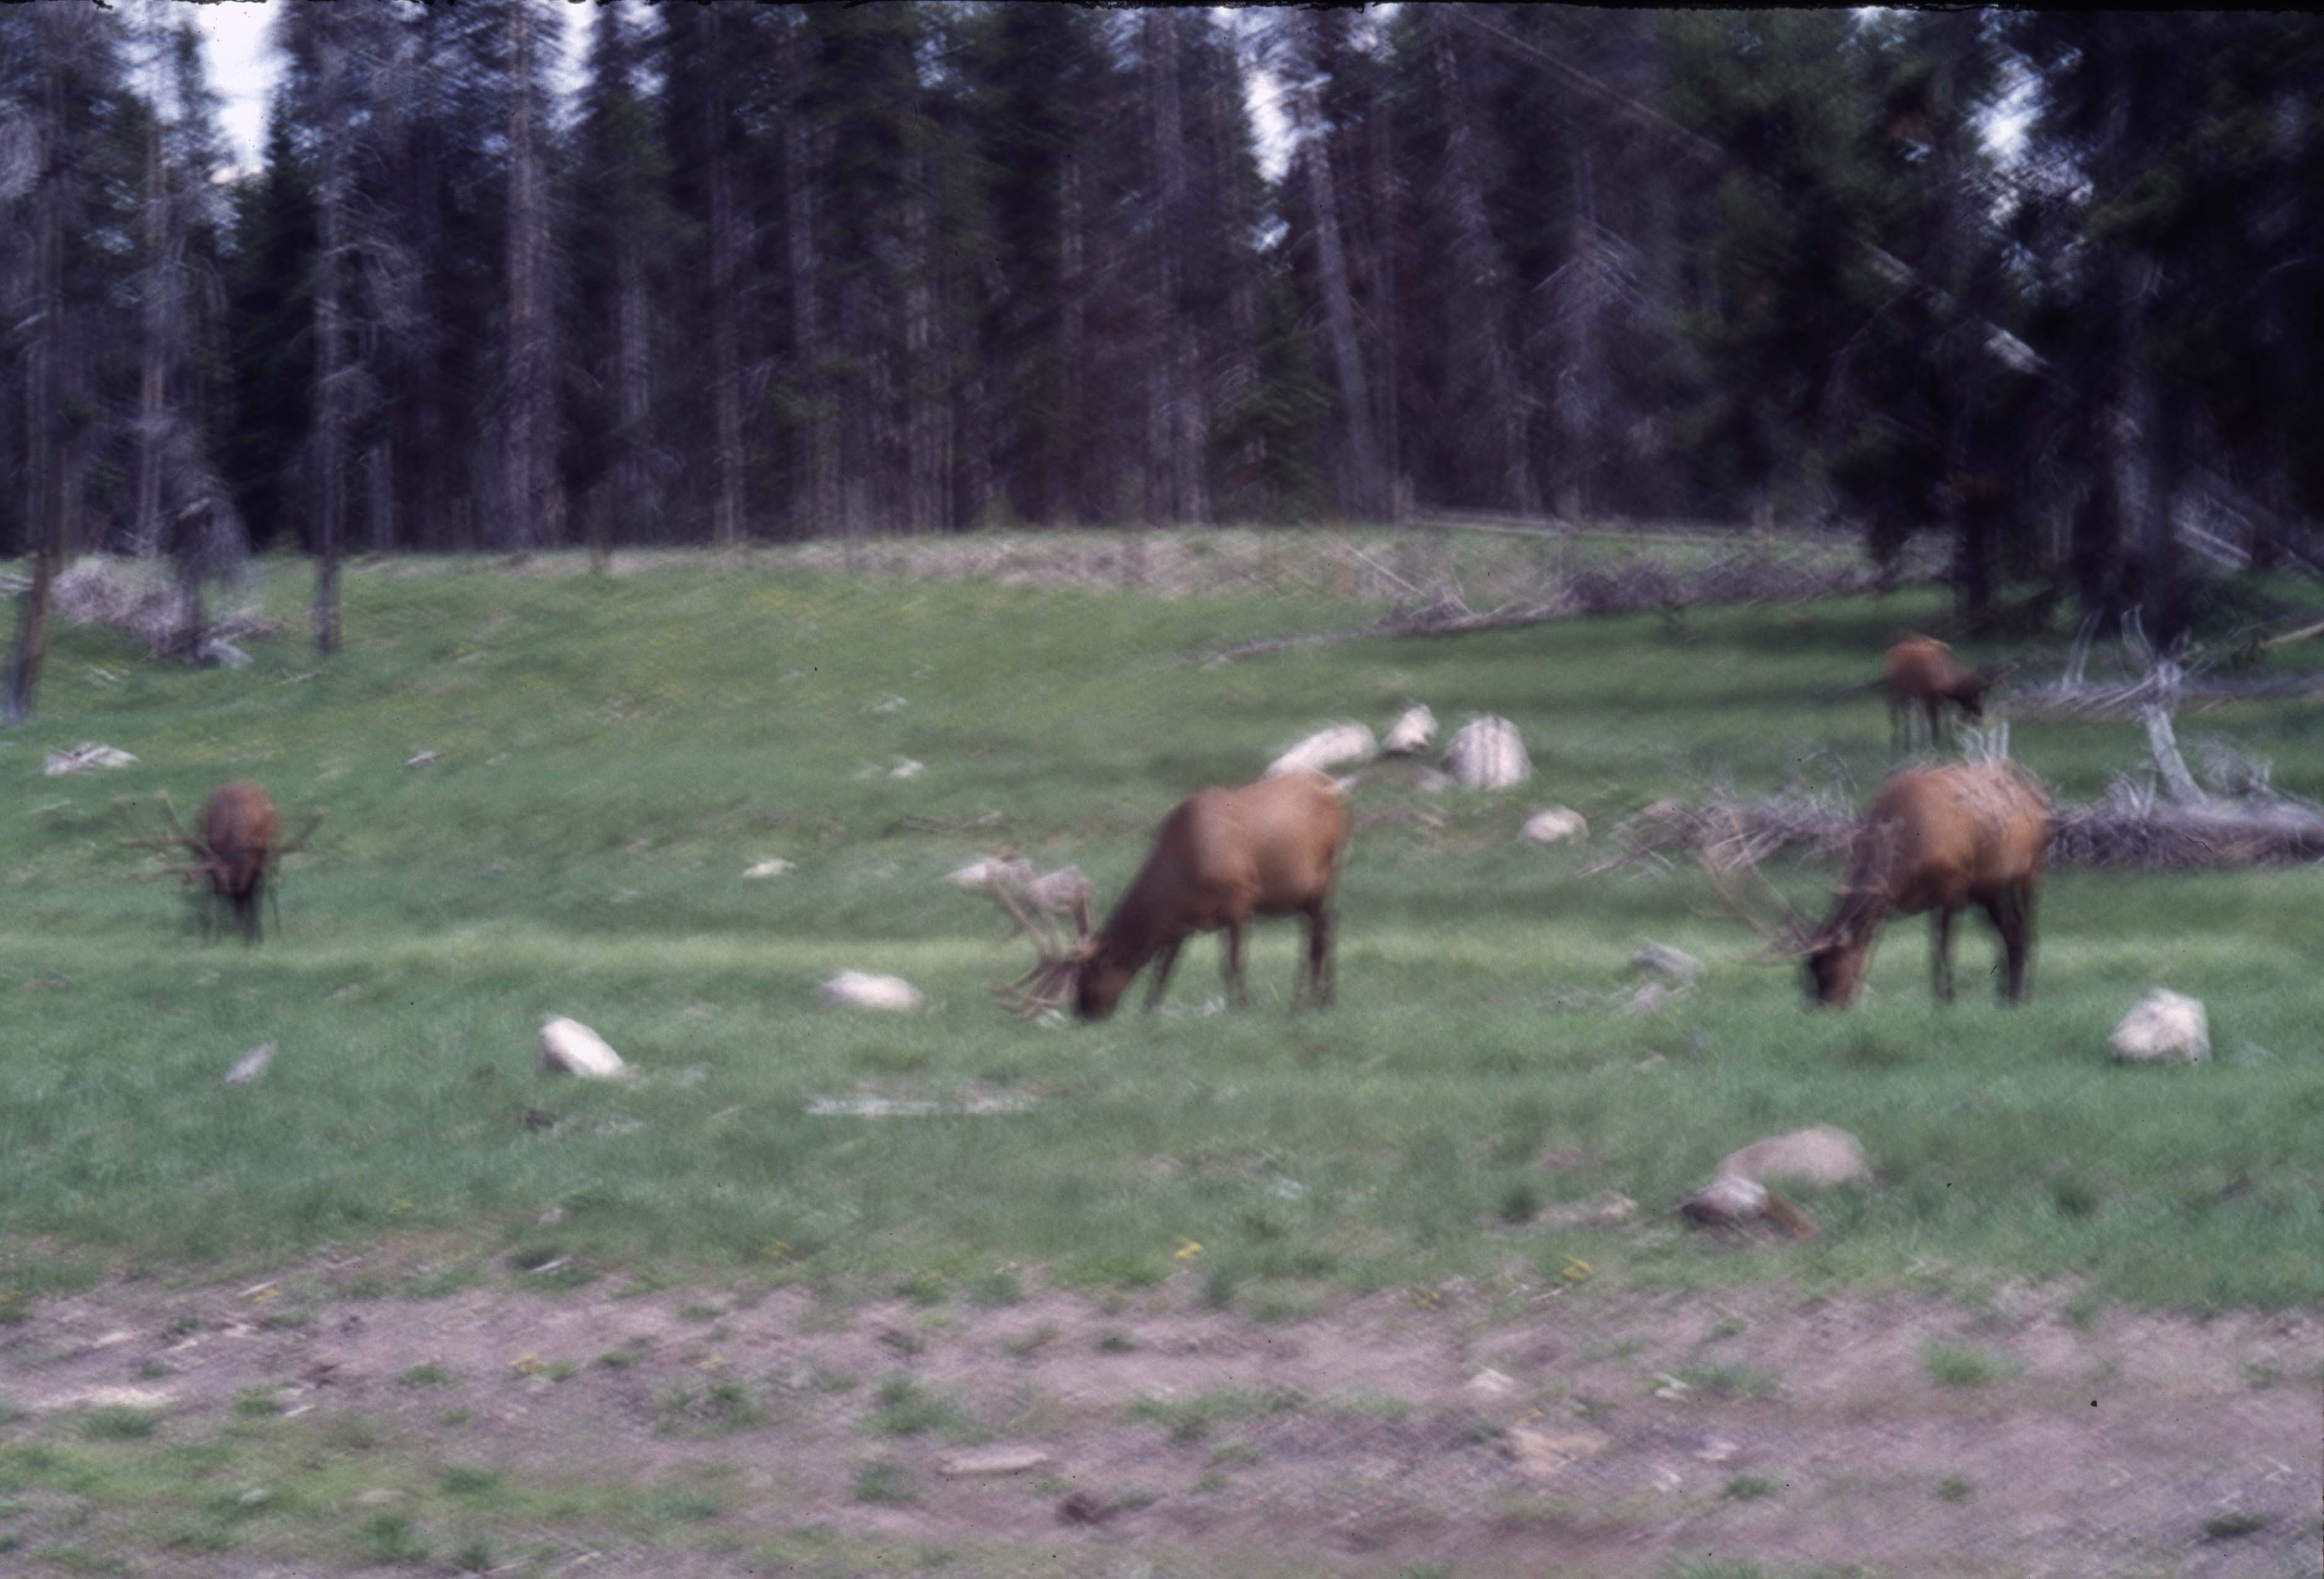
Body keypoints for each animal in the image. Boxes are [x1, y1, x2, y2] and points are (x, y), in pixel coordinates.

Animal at [121, 780, 320, 944]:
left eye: (244, 894)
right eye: (228, 895)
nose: (240, 933)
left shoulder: (261, 861)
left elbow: (260, 896)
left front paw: (259, 936)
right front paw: (216, 936)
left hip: (275, 852)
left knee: (273, 888)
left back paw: (277, 928)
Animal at [996, 768, 1350, 1022]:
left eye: (1089, 973)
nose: (1083, 1015)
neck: (1182, 875)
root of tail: (1337, 790)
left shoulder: (1240, 899)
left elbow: (1234, 963)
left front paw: (1240, 1008)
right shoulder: (1183, 920)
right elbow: (1164, 968)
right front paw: (1147, 1011)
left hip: (1327, 875)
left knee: (1325, 933)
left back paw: (1320, 1002)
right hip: (1304, 896)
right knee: (1318, 933)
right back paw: (1304, 1002)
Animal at [1701, 761, 2051, 1009]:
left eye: (1830, 968)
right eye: (1806, 973)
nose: (1820, 1008)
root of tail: (2035, 792)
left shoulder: (1955, 884)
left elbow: (1942, 948)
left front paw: (1946, 1002)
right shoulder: (1891, 899)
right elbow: (1879, 944)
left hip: (2032, 868)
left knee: (2028, 931)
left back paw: (2026, 995)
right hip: (1990, 887)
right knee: (2010, 934)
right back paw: (2007, 997)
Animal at [1884, 634, 2010, 754]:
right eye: (1974, 695)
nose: (1980, 713)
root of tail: (1890, 654)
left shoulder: (1939, 700)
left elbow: (1946, 722)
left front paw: (1950, 745)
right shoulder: (1929, 698)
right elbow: (1935, 725)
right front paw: (1935, 746)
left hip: (1910, 694)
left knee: (1909, 714)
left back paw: (1912, 744)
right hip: (1894, 689)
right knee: (1896, 713)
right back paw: (1897, 745)